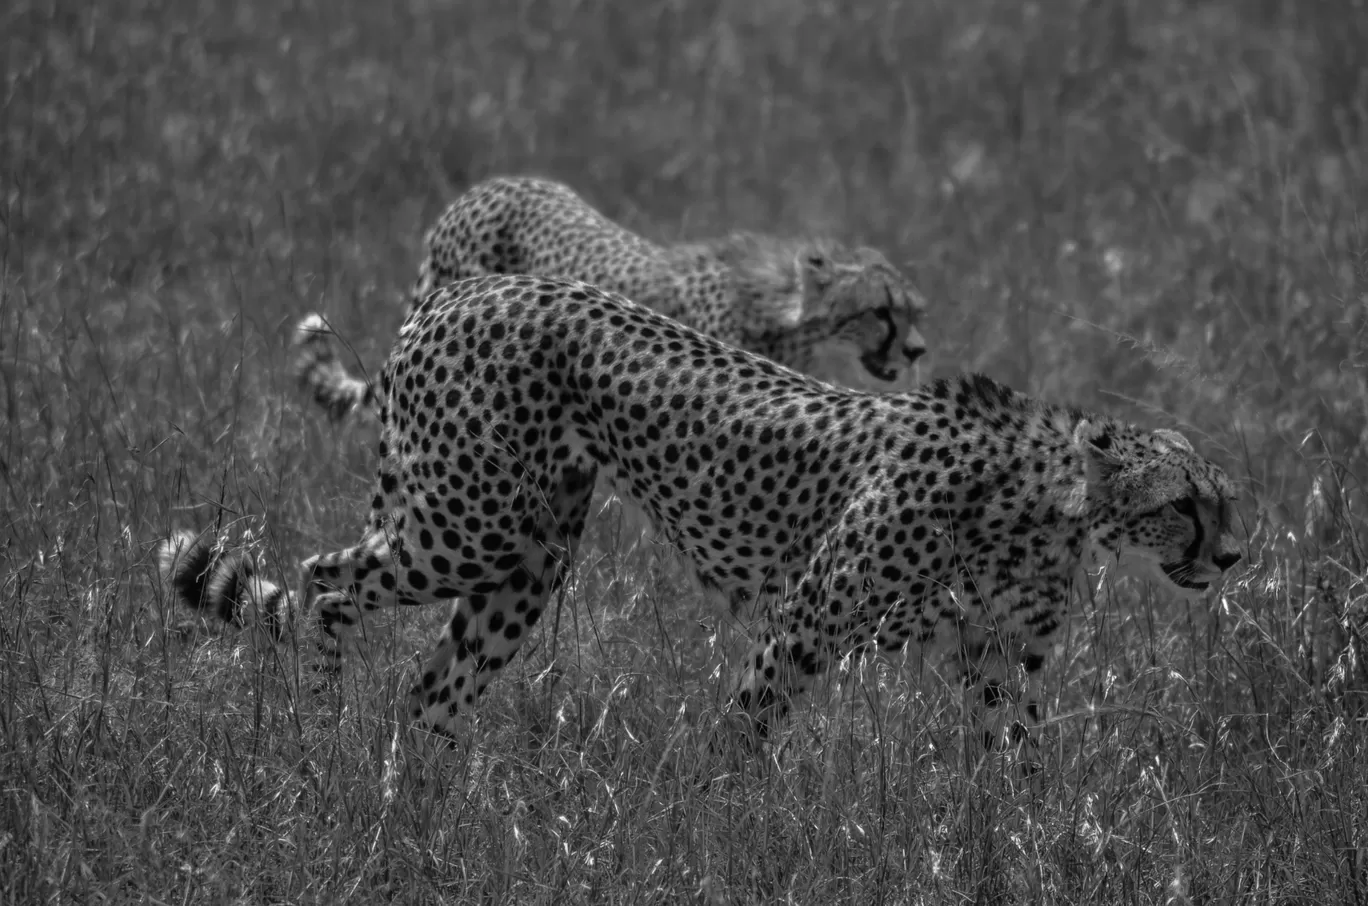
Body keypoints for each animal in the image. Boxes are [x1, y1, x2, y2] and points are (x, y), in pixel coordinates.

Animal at [168, 275, 1242, 749]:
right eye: (1184, 506)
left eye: (1223, 503)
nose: (1232, 558)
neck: (1047, 501)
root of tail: (471, 286)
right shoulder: (807, 623)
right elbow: (747, 738)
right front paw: (735, 821)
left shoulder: (995, 660)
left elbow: (1013, 770)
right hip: (469, 527)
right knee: (324, 580)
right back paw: (322, 734)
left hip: (526, 562)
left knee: (431, 691)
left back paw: (418, 814)